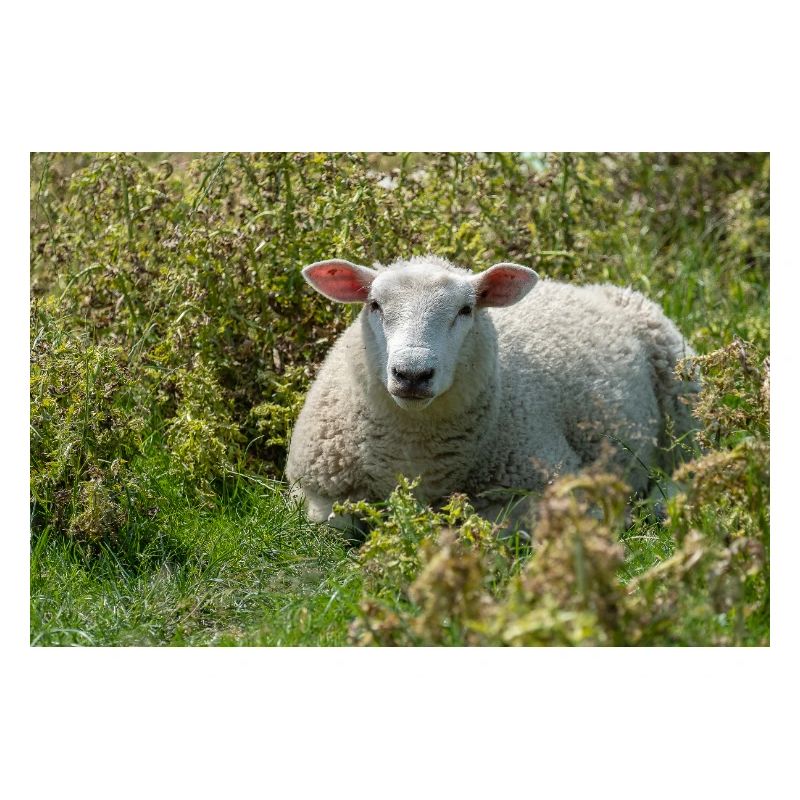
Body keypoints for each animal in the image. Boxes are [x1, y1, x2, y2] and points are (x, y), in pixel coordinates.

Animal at [285, 255, 698, 529]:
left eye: (466, 310)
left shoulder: (544, 486)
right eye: (374, 305)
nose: (413, 374)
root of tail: (583, 286)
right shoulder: (318, 493)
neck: (415, 453)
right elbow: (332, 523)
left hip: (683, 398)